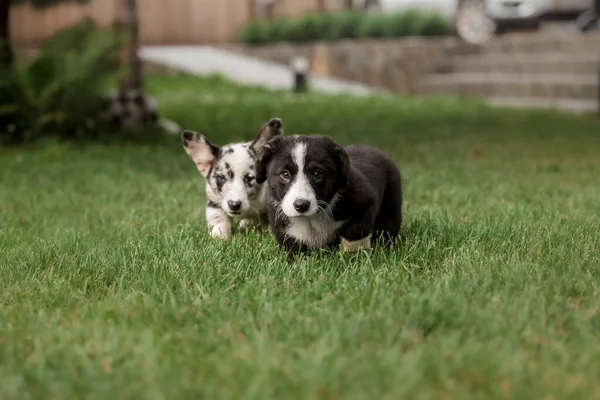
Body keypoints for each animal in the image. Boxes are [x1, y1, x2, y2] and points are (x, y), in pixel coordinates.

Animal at [254, 133, 400, 258]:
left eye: (317, 173)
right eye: (285, 174)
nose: (301, 205)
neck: (312, 219)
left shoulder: (365, 204)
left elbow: (354, 234)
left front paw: (352, 258)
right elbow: (292, 248)